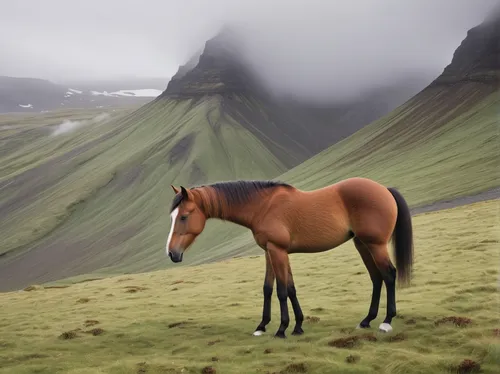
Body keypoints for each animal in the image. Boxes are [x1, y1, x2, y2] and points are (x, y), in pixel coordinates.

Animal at [166, 177, 412, 338]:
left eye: (184, 216)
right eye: (172, 216)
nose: (171, 253)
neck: (262, 206)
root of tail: (384, 189)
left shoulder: (277, 251)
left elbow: (282, 290)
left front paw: (282, 328)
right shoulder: (271, 252)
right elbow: (275, 288)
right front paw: (280, 326)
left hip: (375, 245)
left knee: (389, 275)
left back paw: (386, 321)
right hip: (362, 244)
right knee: (376, 278)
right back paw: (366, 320)